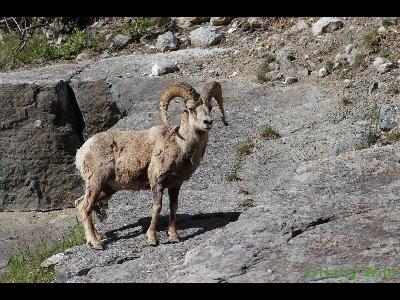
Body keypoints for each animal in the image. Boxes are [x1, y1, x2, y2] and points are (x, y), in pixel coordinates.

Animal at [73, 81, 227, 250]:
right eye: (191, 109)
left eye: (210, 107)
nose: (208, 122)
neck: (179, 145)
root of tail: (81, 151)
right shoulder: (157, 182)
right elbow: (157, 207)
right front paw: (152, 239)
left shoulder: (175, 185)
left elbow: (174, 207)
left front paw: (174, 236)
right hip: (96, 182)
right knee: (86, 207)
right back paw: (96, 243)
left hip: (107, 188)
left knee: (80, 204)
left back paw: (96, 238)